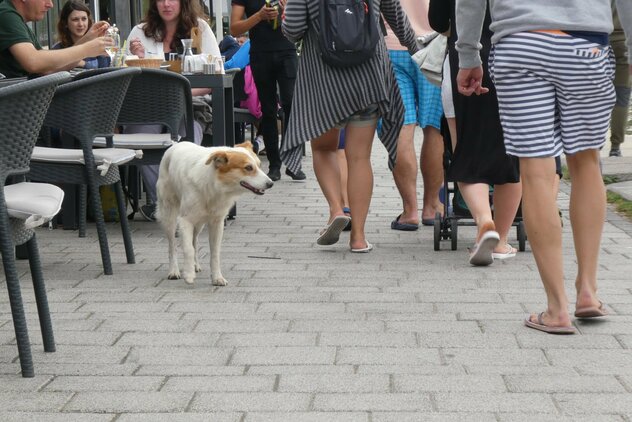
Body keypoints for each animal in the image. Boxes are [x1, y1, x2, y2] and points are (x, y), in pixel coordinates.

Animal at [157, 142, 272, 286]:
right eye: (248, 168)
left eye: (259, 165)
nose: (271, 184)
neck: (215, 185)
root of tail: (176, 144)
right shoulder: (185, 220)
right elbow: (188, 249)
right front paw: (188, 274)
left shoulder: (217, 223)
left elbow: (214, 253)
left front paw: (217, 277)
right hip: (169, 216)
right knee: (172, 246)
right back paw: (174, 271)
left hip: (199, 222)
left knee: (194, 241)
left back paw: (195, 265)